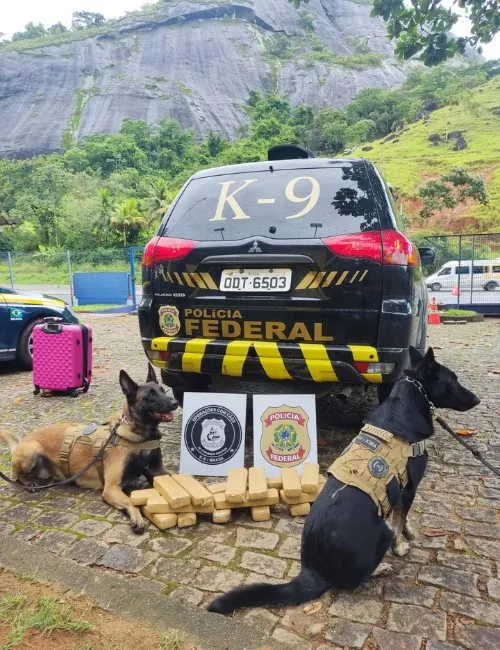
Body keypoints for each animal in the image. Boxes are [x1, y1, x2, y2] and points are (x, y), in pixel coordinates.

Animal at [0, 364, 179, 532]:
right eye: (150, 395)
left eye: (163, 390)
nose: (175, 403)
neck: (141, 436)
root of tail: (22, 441)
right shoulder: (111, 487)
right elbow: (131, 501)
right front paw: (137, 518)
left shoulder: (157, 471)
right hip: (32, 450)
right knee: (17, 475)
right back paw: (28, 482)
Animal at [208, 344, 480, 612]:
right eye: (453, 380)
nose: (477, 399)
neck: (411, 398)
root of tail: (314, 570)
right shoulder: (410, 487)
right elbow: (398, 522)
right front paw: (401, 547)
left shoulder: (402, 492)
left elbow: (401, 517)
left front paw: (409, 532)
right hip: (380, 532)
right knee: (355, 579)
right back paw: (380, 568)